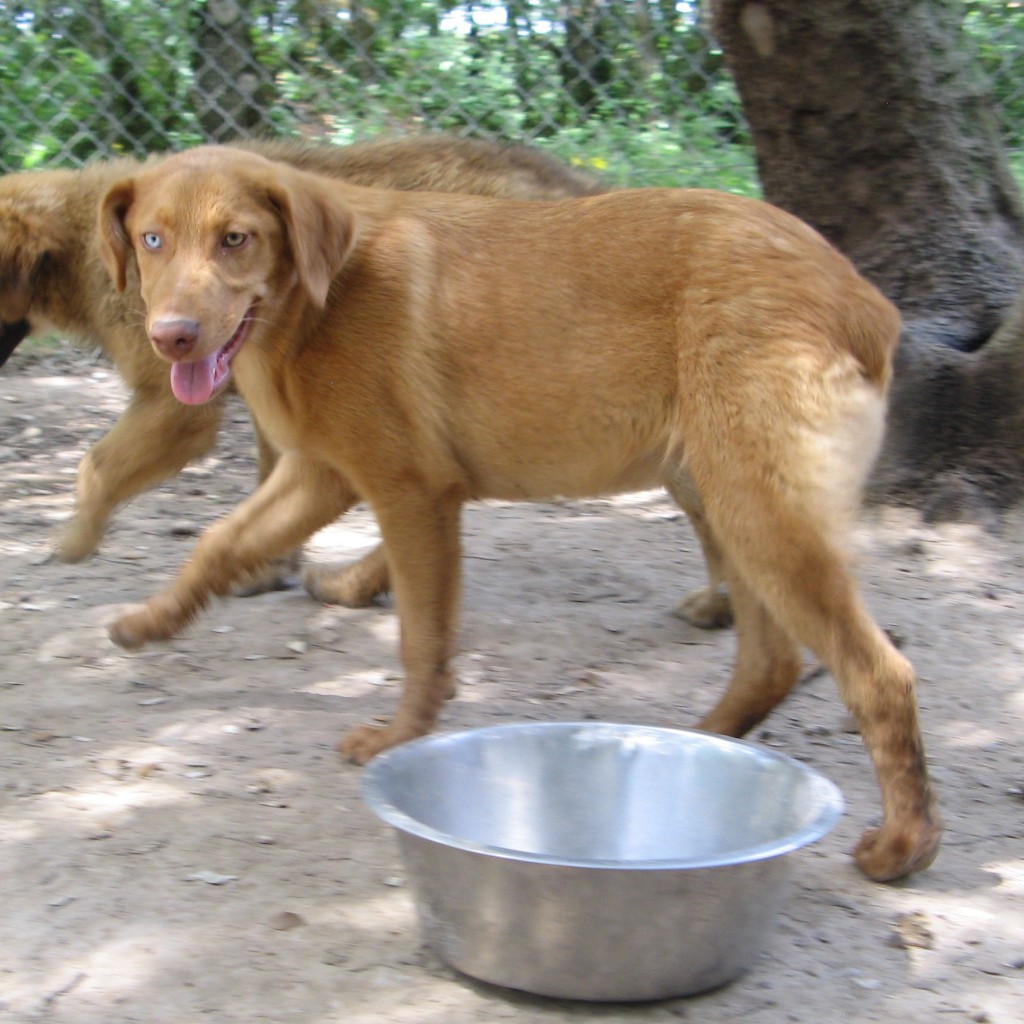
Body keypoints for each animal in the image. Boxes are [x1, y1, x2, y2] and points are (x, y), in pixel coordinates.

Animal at [99, 144, 937, 880]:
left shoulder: (410, 492)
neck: (313, 301)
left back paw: (903, 845)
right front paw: (148, 621)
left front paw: (399, 736)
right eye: (152, 239)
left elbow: (420, 640)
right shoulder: (322, 475)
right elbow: (219, 541)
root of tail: (862, 298)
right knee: (771, 662)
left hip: (762, 510)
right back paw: (698, 749)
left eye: (236, 239)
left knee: (880, 673)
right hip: (723, 494)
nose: (171, 339)